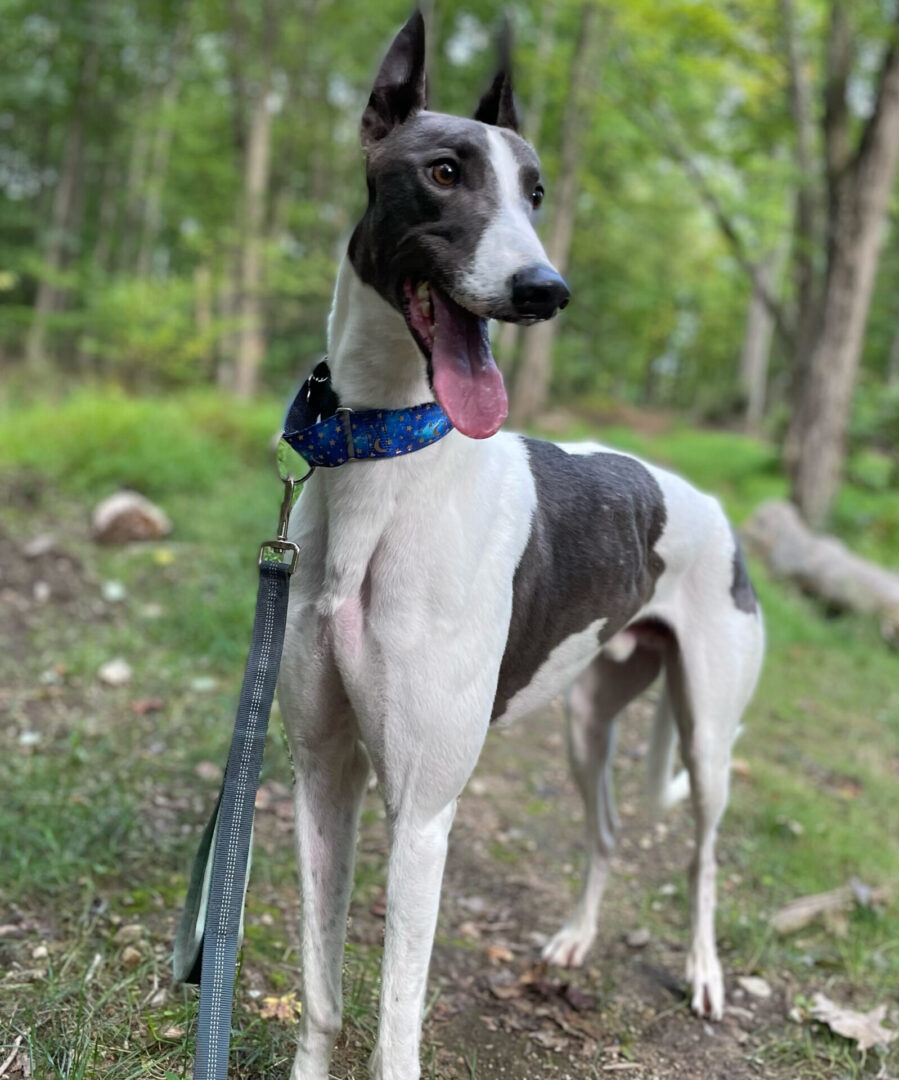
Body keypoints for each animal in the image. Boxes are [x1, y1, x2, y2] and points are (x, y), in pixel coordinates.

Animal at [275, 10, 765, 1080]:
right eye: (444, 172)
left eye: (535, 191)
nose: (546, 290)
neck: (385, 461)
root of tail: (707, 500)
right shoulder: (322, 774)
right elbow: (324, 993)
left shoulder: (421, 814)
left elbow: (396, 1026)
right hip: (589, 718)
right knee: (609, 832)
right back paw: (574, 939)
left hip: (708, 735)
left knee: (704, 853)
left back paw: (705, 973)